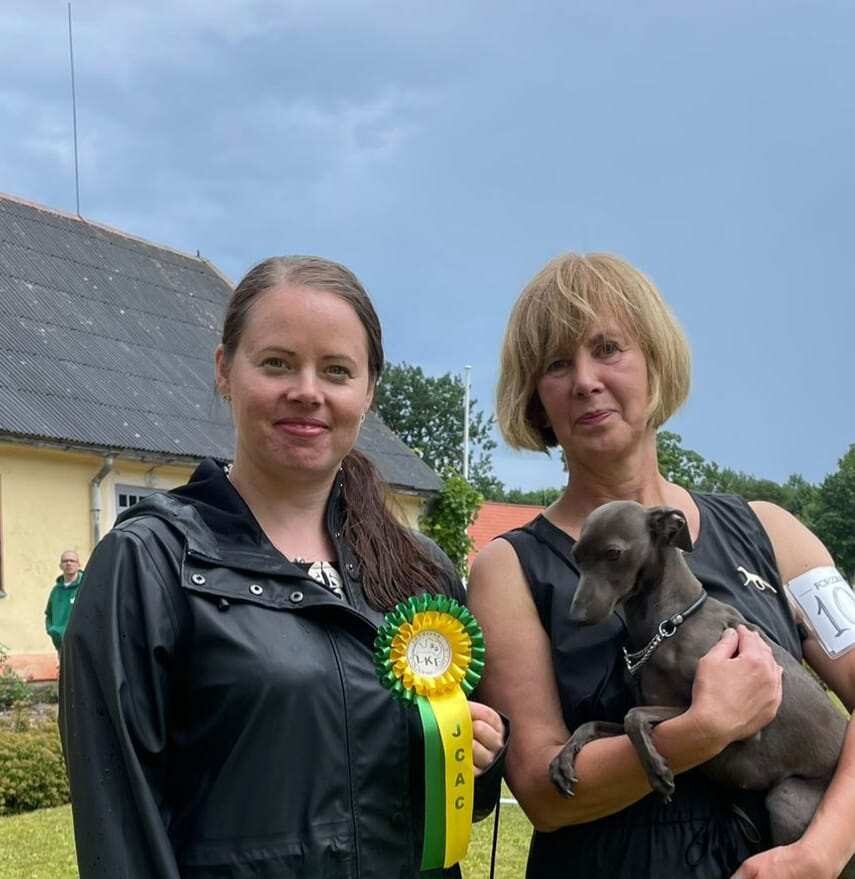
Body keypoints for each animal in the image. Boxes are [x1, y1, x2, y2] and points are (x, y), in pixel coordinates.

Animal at [549, 500, 852, 876]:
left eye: (613, 553)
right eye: (576, 555)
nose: (575, 617)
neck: (669, 624)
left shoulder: (739, 721)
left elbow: (635, 715)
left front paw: (657, 770)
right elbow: (596, 722)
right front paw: (565, 758)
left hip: (788, 799)